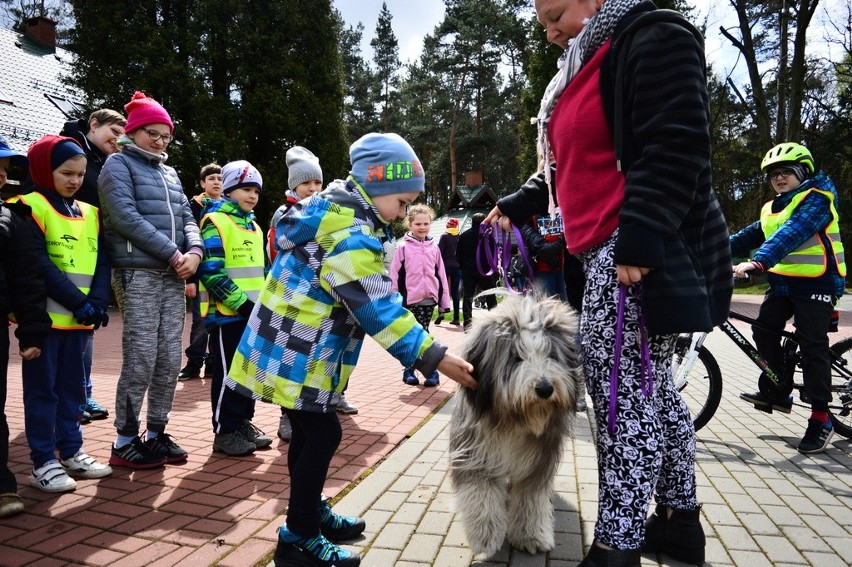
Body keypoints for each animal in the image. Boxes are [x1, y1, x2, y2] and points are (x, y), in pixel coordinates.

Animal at [450, 292, 584, 560]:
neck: (513, 419)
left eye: (551, 355)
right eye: (516, 357)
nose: (545, 388)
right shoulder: (474, 452)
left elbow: (530, 497)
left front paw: (530, 536)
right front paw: (485, 536)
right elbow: (480, 492)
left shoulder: (538, 459)